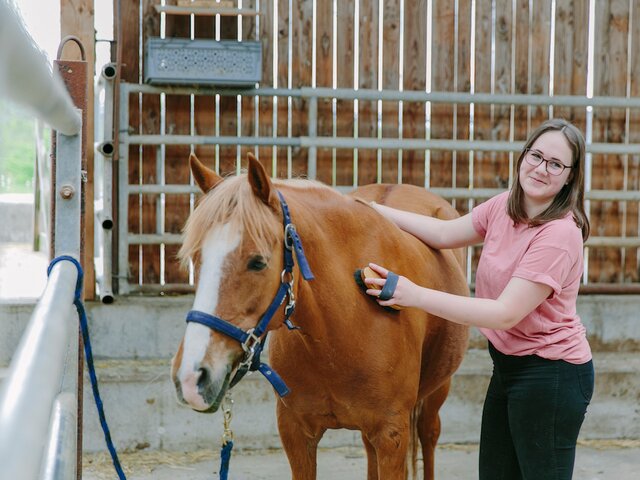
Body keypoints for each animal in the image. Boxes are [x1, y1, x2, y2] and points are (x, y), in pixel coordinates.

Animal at [171, 154, 470, 480]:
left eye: (258, 262)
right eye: (196, 259)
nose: (191, 377)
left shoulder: (393, 436)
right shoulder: (295, 433)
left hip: (436, 395)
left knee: (429, 436)